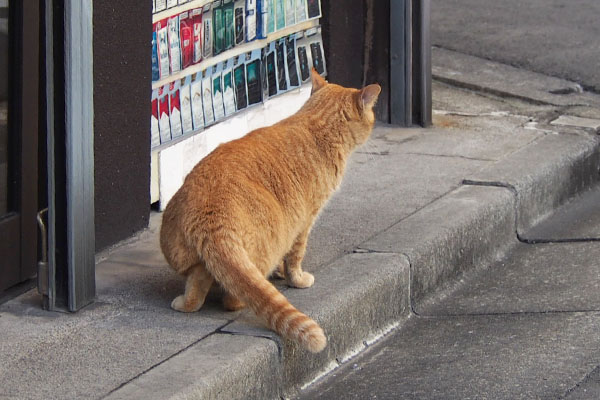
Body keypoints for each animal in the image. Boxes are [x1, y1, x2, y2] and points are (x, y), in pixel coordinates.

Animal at [159, 69, 380, 354]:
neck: (317, 122)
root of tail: (212, 214)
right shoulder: (304, 222)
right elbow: (295, 258)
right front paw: (296, 278)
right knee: (235, 298)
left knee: (200, 281)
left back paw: (187, 301)